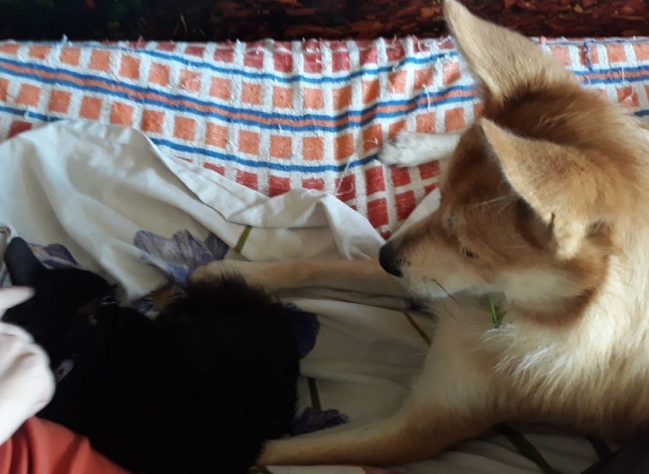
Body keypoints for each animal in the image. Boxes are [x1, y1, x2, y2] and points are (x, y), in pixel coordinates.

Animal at [191, 0, 649, 467]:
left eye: (470, 250)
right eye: (441, 202)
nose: (386, 258)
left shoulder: (420, 429)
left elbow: (273, 452)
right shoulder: (421, 268)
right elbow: (317, 265)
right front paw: (236, 274)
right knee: (483, 126)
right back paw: (420, 145)